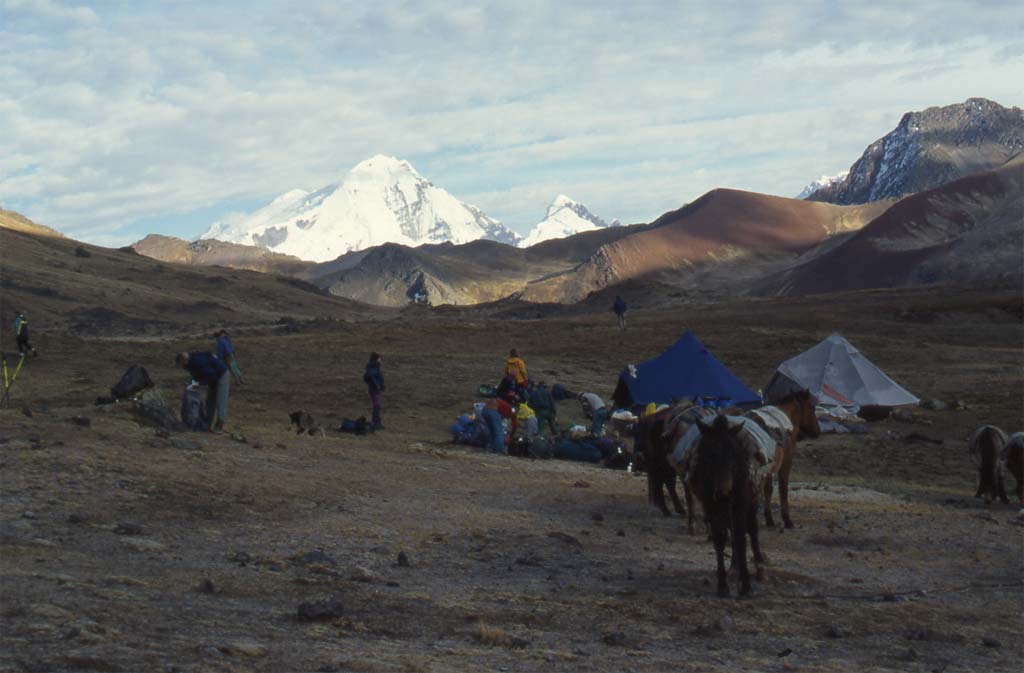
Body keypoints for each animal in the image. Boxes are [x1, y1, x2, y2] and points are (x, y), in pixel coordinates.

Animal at [749, 391, 819, 528]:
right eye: (812, 407)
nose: (817, 431)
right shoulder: (785, 462)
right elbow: (783, 488)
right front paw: (786, 519)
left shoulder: (769, 468)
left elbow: (768, 490)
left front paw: (769, 518)